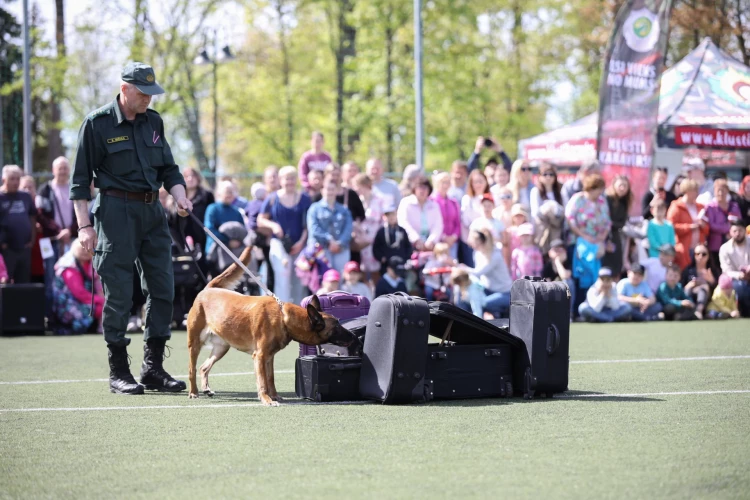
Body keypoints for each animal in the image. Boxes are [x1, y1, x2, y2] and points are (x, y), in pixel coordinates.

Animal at [184, 246, 356, 406]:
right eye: (336, 327)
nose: (354, 337)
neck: (283, 318)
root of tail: (208, 289)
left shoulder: (269, 357)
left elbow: (270, 379)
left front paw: (275, 396)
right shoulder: (259, 356)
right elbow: (262, 382)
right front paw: (267, 399)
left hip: (222, 347)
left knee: (204, 367)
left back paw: (206, 388)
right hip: (195, 344)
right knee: (192, 369)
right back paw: (193, 392)